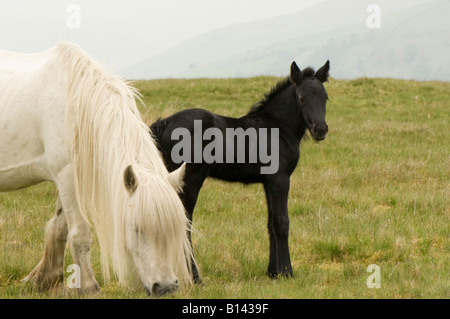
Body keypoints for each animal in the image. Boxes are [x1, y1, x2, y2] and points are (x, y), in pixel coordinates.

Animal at [0, 42, 194, 298]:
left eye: (174, 229)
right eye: (137, 229)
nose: (165, 287)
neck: (75, 103)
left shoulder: (66, 180)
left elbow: (60, 228)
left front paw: (47, 280)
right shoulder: (66, 175)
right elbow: (80, 233)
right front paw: (89, 286)